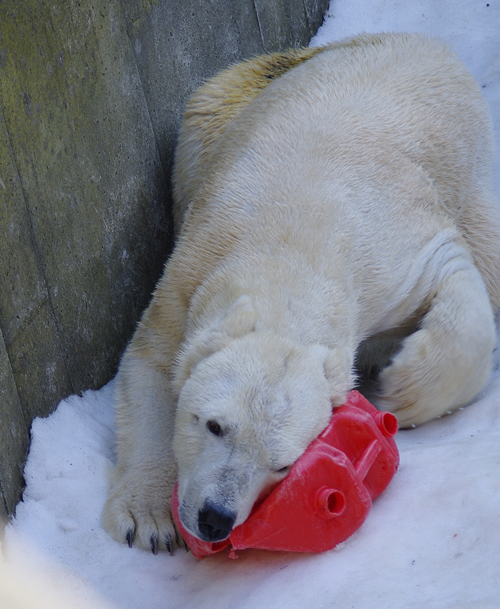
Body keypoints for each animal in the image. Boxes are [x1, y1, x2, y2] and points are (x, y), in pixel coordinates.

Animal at [101, 35, 500, 552]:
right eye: (213, 425)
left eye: (283, 464)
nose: (215, 519)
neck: (292, 243)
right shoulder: (191, 273)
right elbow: (152, 364)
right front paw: (148, 520)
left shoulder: (390, 256)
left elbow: (454, 271)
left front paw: (399, 392)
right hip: (224, 110)